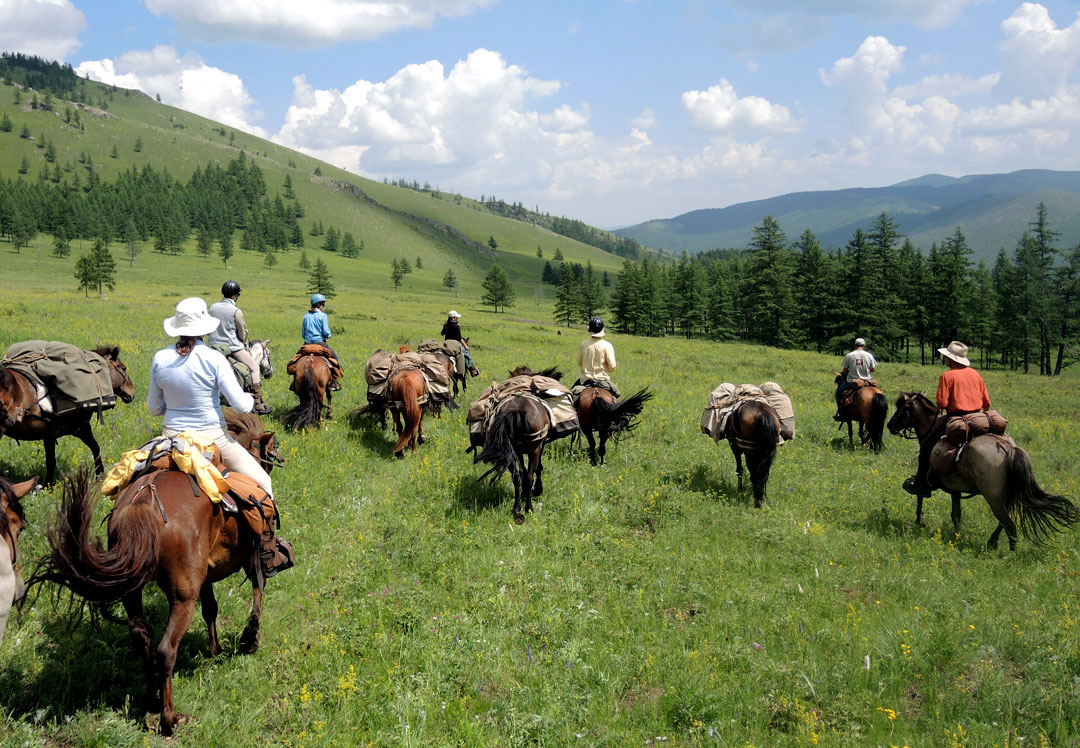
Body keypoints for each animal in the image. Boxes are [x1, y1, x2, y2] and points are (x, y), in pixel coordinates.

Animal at [0, 347, 137, 487]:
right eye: (123, 368)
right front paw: (100, 477)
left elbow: (50, 460)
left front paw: (47, 485)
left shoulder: (49, 435)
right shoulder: (81, 428)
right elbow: (96, 448)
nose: (132, 394)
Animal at [39, 461, 278, 733]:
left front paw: (214, 649)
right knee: (165, 650)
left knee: (140, 635)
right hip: (183, 598)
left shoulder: (203, 577)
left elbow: (210, 608)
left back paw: (153, 694)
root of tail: (146, 502)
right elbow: (257, 591)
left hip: (133, 590)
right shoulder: (251, 556)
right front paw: (250, 638)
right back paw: (170, 718)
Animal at [473, 364, 561, 522]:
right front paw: (537, 489)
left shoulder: (519, 453)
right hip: (533, 451)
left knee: (517, 477)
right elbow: (538, 469)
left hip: (511, 453)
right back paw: (529, 507)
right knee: (529, 476)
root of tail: (517, 410)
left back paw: (517, 509)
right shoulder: (539, 448)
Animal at [885, 390, 1080, 548]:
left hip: (993, 497)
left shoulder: (925, 476)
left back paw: (1007, 550)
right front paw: (957, 534)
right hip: (1004, 495)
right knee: (1005, 520)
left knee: (1009, 523)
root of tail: (1008, 450)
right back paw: (993, 542)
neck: (930, 428)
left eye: (901, 408)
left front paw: (919, 522)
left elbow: (920, 498)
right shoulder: (955, 489)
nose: (889, 425)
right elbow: (956, 514)